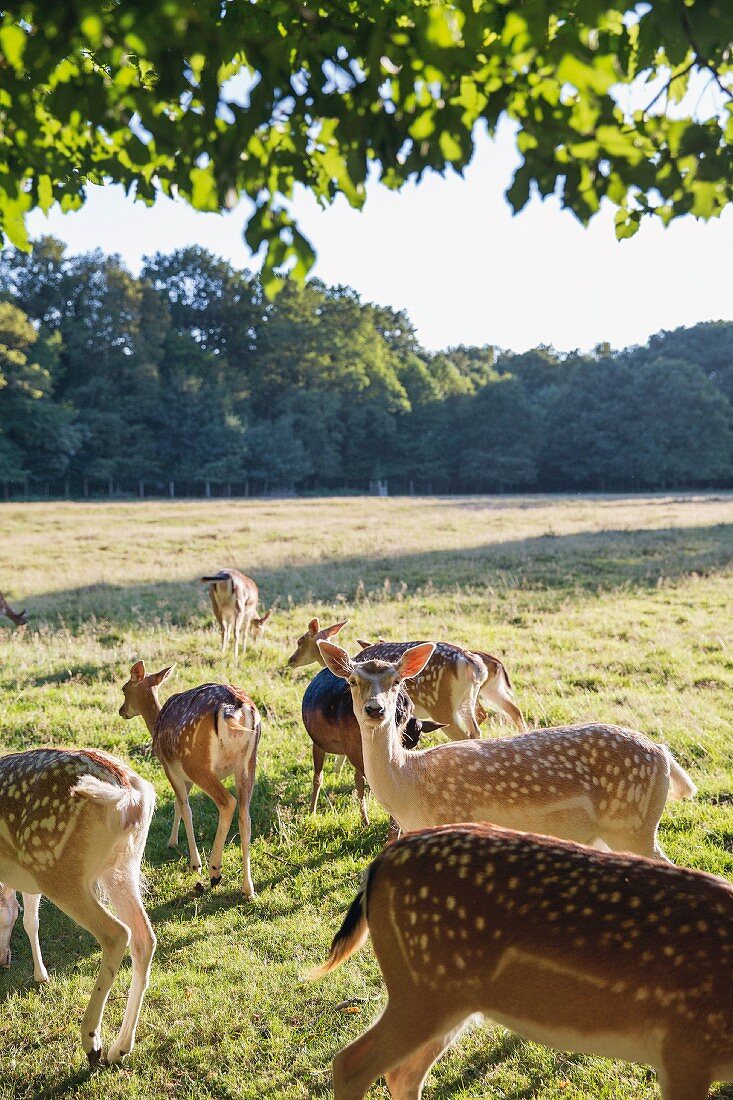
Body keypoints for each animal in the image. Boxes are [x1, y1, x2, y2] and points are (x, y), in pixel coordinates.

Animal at [0, 748, 154, 1064]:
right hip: (123, 867)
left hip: (57, 870)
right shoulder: (28, 881)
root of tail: (127, 795)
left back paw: (92, 1043)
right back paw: (119, 1048)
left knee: (116, 933)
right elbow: (30, 918)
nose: (2, 960)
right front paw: (40, 976)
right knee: (144, 937)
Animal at [117, 655, 259, 897]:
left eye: (124, 688)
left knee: (227, 802)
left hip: (197, 763)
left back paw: (214, 871)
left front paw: (195, 864)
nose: (122, 711)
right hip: (248, 763)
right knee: (245, 815)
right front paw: (172, 842)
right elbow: (177, 804)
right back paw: (248, 888)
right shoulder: (185, 777)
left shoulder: (170, 767)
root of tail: (232, 710)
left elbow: (185, 807)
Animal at [310, 822, 730, 1100]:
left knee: (402, 1073)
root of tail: (377, 865)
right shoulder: (686, 1049)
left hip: (447, 997)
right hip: (424, 989)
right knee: (351, 1064)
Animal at [316, 638, 695, 858]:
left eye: (397, 681)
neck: (410, 785)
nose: (375, 709)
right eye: (352, 681)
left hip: (631, 825)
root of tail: (663, 755)